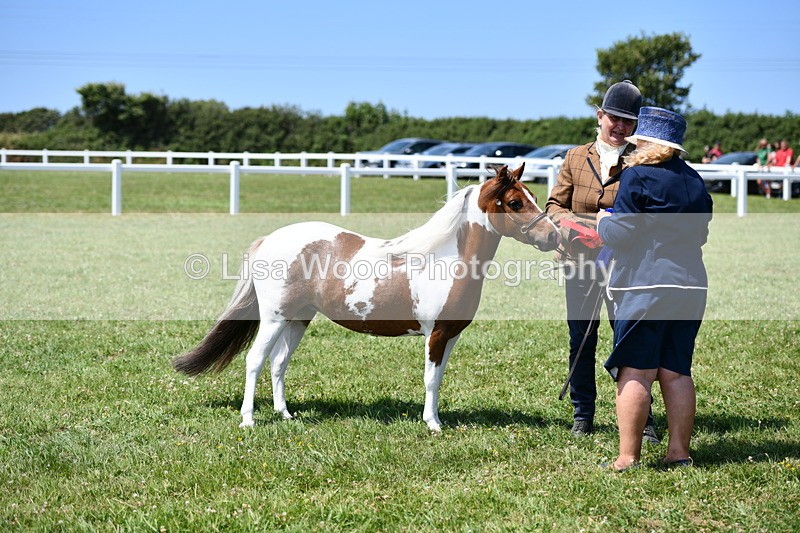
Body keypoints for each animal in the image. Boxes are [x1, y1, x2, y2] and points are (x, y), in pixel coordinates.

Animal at [173, 163, 560, 431]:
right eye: (515, 202)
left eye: (533, 197)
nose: (553, 236)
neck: (445, 260)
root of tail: (269, 239)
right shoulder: (435, 334)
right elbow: (429, 379)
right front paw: (433, 425)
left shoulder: (450, 335)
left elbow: (438, 379)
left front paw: (435, 418)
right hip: (273, 317)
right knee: (255, 360)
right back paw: (249, 420)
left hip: (297, 319)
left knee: (278, 363)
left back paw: (286, 414)